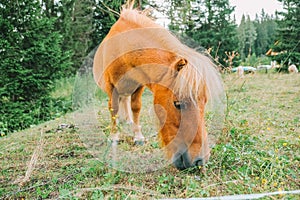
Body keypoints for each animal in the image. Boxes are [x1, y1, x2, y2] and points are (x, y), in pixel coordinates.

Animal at [92, 1, 224, 170]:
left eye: (204, 103)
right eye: (177, 104)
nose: (199, 160)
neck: (123, 50)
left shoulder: (138, 85)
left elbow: (136, 108)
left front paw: (138, 136)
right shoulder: (111, 87)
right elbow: (113, 109)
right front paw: (114, 136)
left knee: (125, 102)